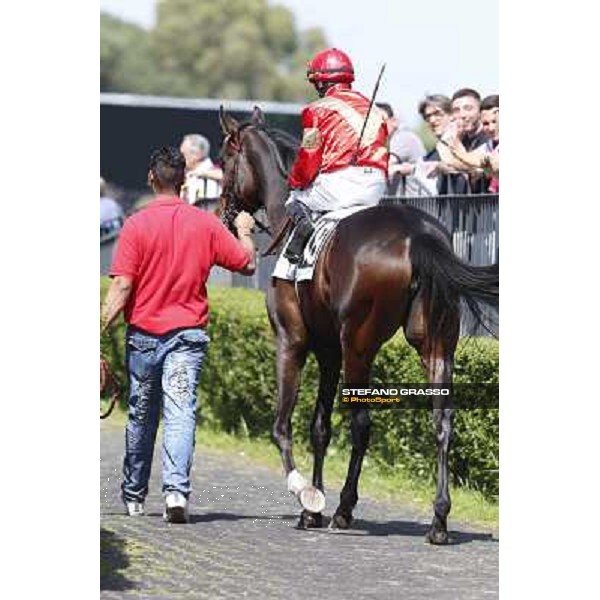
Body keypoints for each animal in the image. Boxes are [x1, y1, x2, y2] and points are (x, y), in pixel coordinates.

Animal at [216, 104, 496, 544]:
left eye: (225, 159)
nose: (222, 215)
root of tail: (418, 235)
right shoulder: (329, 349)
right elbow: (320, 426)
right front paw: (312, 506)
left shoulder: (292, 340)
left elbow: (282, 425)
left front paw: (307, 497)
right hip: (435, 342)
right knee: (442, 421)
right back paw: (439, 519)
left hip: (359, 345)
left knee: (363, 423)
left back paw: (345, 510)